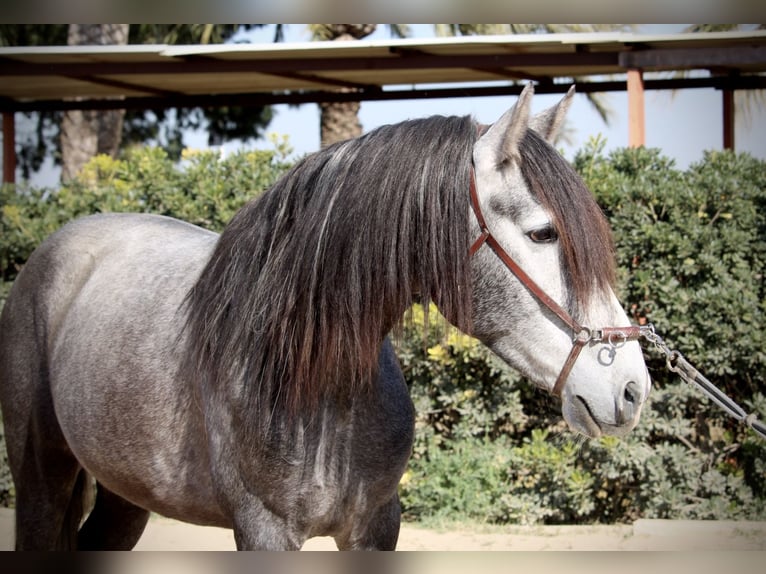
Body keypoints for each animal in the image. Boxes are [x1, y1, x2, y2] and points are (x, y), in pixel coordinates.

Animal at [0, 84, 649, 550]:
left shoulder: (376, 526)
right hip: (41, 480)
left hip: (124, 493)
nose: (632, 388)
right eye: (543, 233)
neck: (312, 379)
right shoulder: (262, 532)